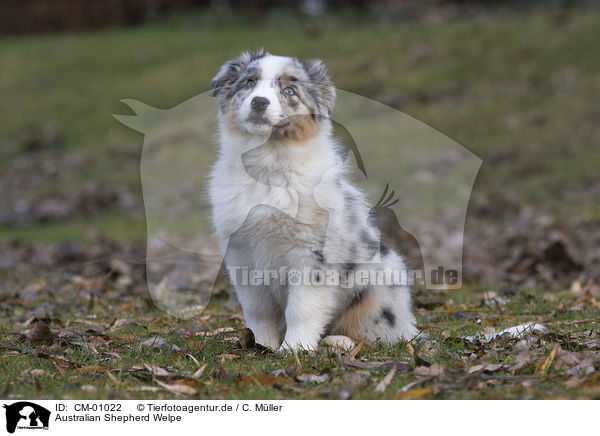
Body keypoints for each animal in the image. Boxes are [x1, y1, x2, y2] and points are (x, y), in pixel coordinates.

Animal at [207, 49, 418, 350]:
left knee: (379, 334)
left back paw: (340, 341)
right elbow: (257, 309)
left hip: (384, 282)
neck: (269, 166)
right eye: (249, 82)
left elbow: (302, 308)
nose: (259, 102)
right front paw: (261, 344)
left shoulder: (312, 254)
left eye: (290, 91)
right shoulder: (241, 252)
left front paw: (294, 349)